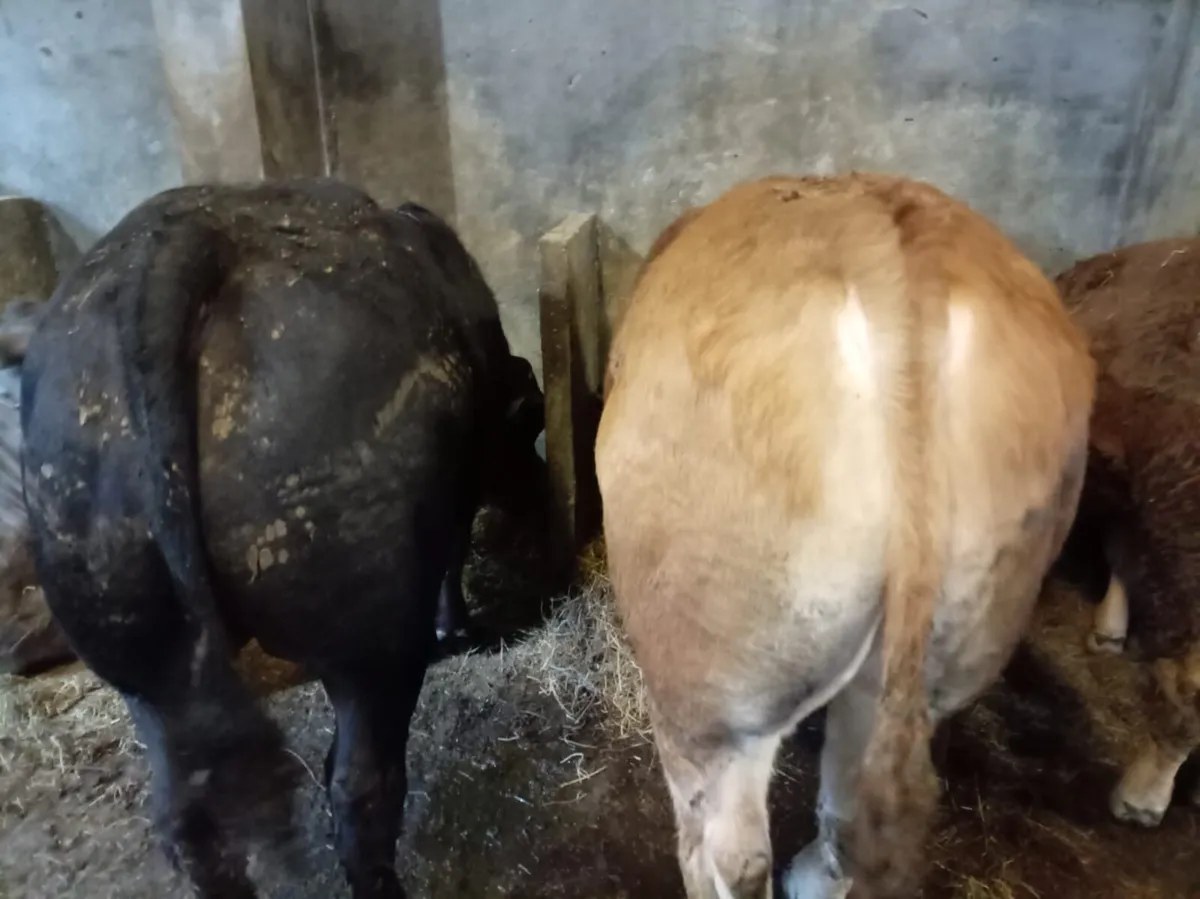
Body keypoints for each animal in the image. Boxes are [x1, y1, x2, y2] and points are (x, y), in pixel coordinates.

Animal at [19, 179, 544, 899]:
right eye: (531, 425)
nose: (541, 492)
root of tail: (180, 245)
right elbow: (453, 556)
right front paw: (460, 628)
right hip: (368, 639)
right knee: (361, 788)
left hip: (131, 636)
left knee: (186, 815)